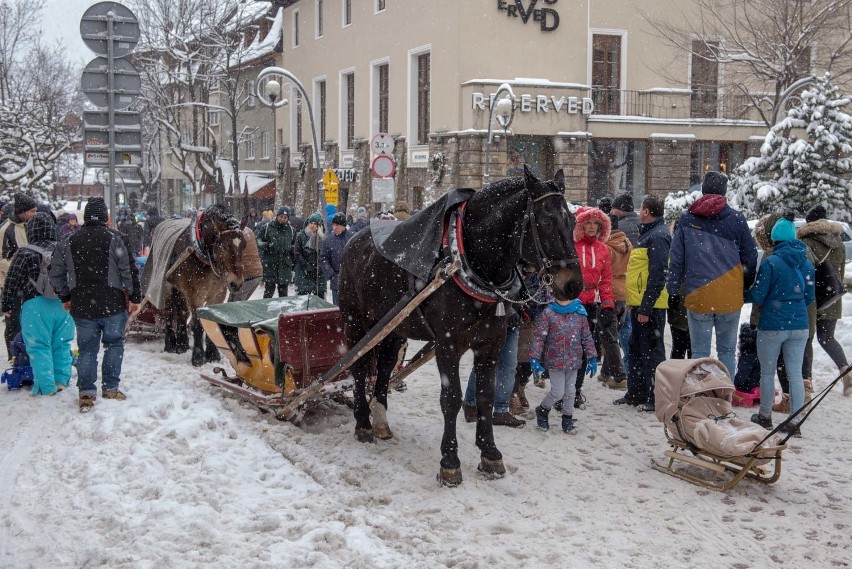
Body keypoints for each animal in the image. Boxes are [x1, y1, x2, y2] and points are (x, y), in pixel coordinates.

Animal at [157, 203, 246, 364]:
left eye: (244, 245)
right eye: (224, 246)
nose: (236, 283)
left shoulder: (218, 293)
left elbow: (211, 320)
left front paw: (213, 354)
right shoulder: (194, 293)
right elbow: (197, 323)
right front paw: (198, 357)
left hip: (180, 289)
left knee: (181, 312)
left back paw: (182, 344)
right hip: (166, 285)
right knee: (169, 312)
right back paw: (170, 344)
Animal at [336, 166, 584, 486]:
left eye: (573, 220)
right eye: (545, 220)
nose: (574, 285)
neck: (470, 262)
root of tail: (354, 240)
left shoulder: (491, 345)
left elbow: (486, 396)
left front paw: (490, 453)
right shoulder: (448, 344)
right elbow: (451, 398)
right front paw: (450, 460)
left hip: (392, 326)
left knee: (386, 367)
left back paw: (379, 420)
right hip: (356, 322)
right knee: (359, 366)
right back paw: (363, 423)